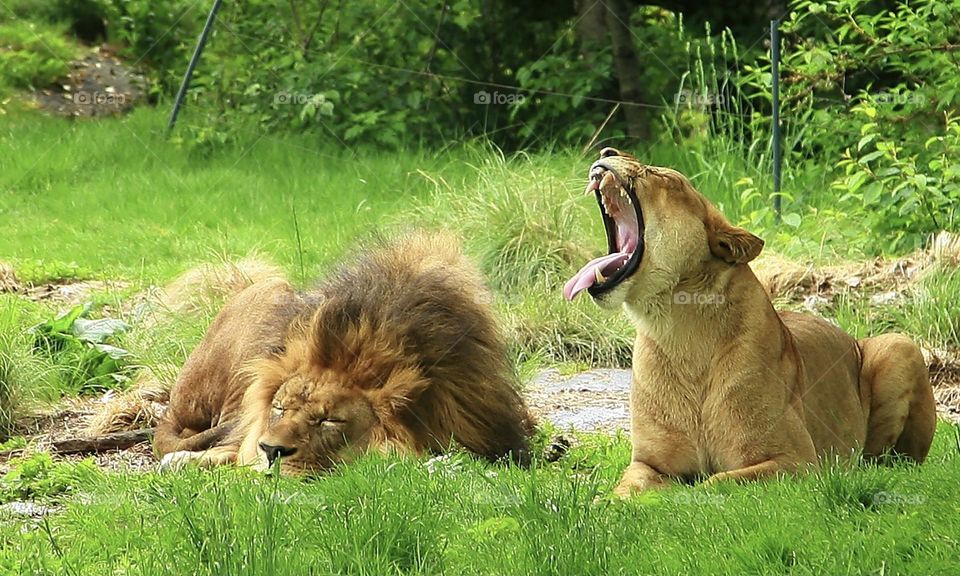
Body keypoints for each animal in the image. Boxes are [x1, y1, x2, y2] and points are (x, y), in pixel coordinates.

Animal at [564, 148, 936, 496]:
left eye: (666, 179)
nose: (607, 152)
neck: (677, 330)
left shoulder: (798, 461)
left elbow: (715, 482)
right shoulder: (648, 462)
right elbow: (624, 490)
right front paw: (609, 506)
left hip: (898, 345)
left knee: (889, 459)